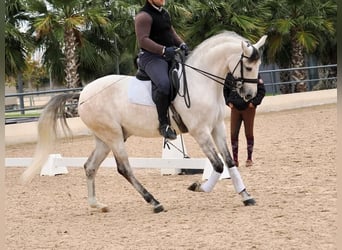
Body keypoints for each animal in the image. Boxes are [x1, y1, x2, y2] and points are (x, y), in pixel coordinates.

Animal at [20, 30, 268, 213]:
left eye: (258, 66)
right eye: (248, 66)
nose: (249, 95)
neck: (201, 82)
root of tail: (83, 93)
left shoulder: (216, 128)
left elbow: (229, 161)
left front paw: (246, 195)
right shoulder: (200, 131)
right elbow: (217, 164)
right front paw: (198, 186)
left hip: (104, 139)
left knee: (90, 166)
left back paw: (97, 204)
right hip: (114, 137)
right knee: (124, 168)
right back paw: (154, 202)